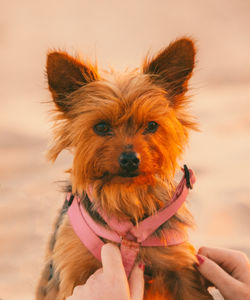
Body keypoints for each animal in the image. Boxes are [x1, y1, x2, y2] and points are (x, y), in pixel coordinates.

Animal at [36, 38, 213, 300]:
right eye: (101, 127)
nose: (130, 159)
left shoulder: (180, 267)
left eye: (151, 125)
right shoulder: (74, 273)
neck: (125, 195)